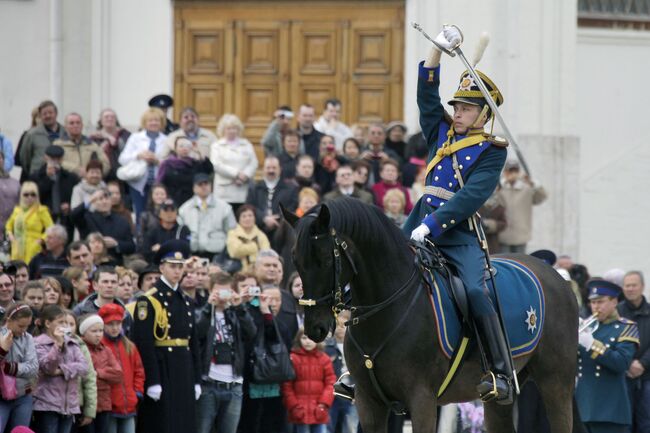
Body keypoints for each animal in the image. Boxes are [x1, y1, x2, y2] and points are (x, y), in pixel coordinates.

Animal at [284, 198, 576, 432]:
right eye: (295, 259)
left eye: (325, 259)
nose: (315, 328)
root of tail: (556, 276)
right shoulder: (369, 403)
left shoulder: (422, 400)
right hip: (499, 400)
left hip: (555, 384)